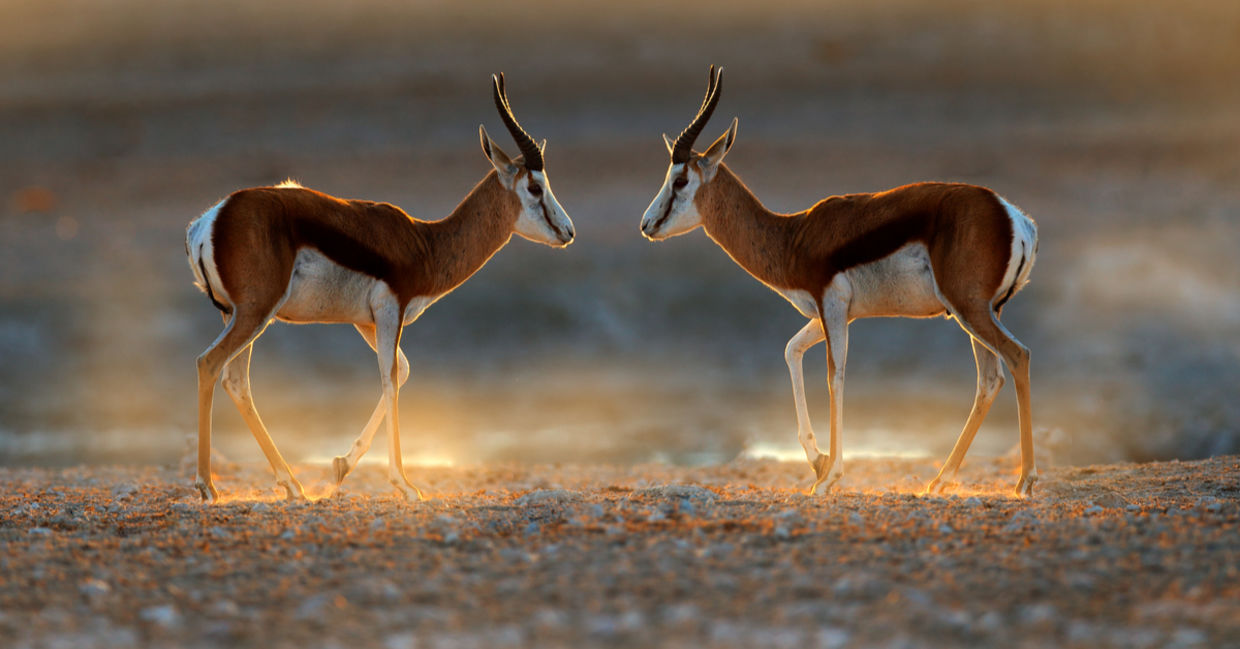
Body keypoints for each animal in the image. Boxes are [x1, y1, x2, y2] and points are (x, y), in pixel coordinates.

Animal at [185, 74, 573, 502]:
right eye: (535, 187)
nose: (568, 231)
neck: (425, 243)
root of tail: (210, 220)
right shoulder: (391, 309)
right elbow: (390, 380)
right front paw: (405, 484)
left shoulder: (365, 320)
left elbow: (401, 371)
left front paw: (341, 466)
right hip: (255, 313)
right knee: (209, 363)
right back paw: (207, 486)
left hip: (241, 315)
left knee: (237, 382)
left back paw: (292, 485)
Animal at [640, 67, 1039, 497]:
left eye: (680, 180)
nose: (647, 224)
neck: (792, 236)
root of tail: (1014, 217)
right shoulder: (833, 314)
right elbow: (791, 351)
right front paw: (818, 463)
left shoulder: (831, 307)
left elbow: (835, 377)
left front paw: (828, 477)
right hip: (978, 312)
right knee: (990, 379)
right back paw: (939, 481)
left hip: (970, 310)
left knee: (1018, 356)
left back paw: (1025, 480)